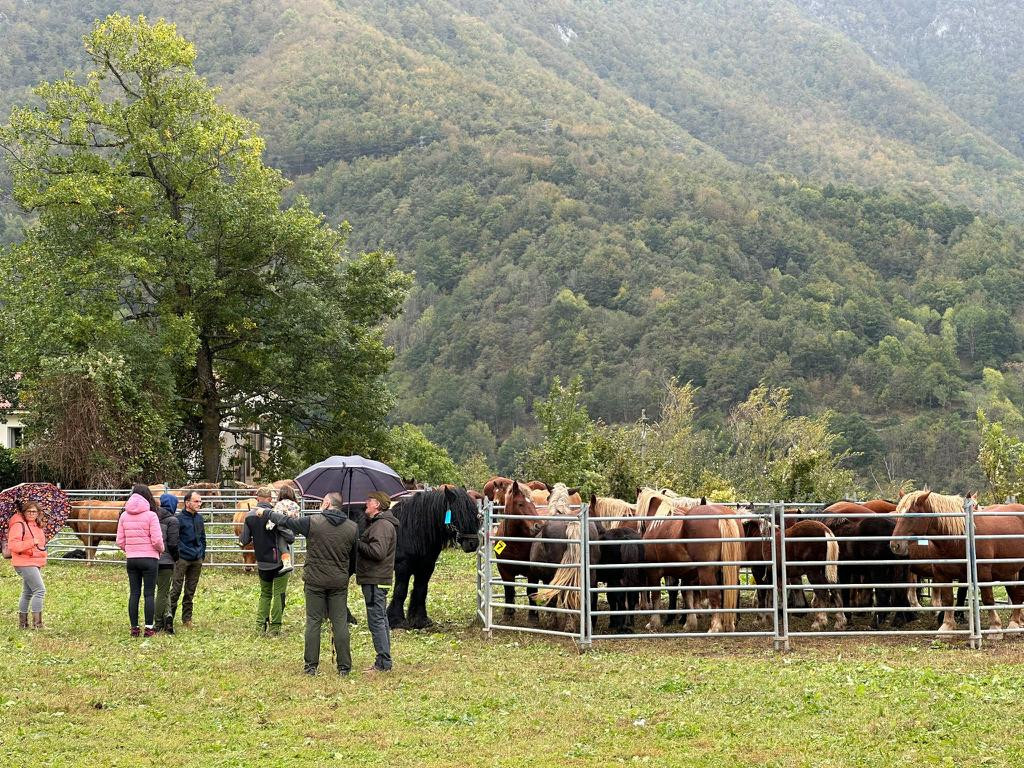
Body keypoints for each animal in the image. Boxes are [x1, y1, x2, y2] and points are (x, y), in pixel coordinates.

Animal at [385, 487, 481, 630]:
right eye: (459, 513)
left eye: (475, 513)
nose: (472, 544)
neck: (412, 529)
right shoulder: (403, 566)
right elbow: (400, 591)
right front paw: (397, 620)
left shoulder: (426, 567)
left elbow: (421, 590)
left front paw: (420, 620)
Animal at [638, 501, 745, 634]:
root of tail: (721, 514)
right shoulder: (687, 575)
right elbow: (687, 596)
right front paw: (690, 623)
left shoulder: (653, 572)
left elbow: (656, 596)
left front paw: (653, 623)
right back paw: (729, 625)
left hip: (707, 572)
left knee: (715, 595)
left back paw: (714, 627)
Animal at [888, 493, 1024, 638]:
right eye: (898, 513)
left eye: (912, 515)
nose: (895, 545)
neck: (959, 539)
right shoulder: (942, 574)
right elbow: (948, 600)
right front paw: (946, 626)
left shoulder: (982, 574)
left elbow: (987, 599)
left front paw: (995, 628)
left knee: (1017, 595)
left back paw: (1014, 624)